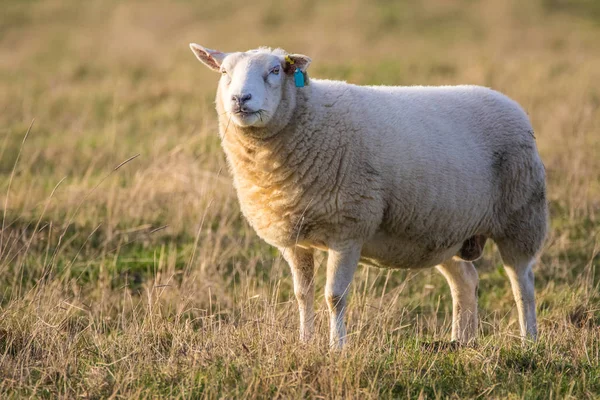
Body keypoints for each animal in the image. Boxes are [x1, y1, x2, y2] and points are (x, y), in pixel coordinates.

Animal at [189, 43, 548, 348]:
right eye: (224, 72)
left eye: (276, 70)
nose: (241, 99)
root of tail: (509, 103)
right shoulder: (294, 238)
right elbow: (302, 294)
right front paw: (305, 344)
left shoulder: (348, 229)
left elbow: (334, 297)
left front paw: (337, 348)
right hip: (445, 231)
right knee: (466, 282)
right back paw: (460, 342)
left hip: (522, 216)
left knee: (522, 284)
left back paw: (528, 341)